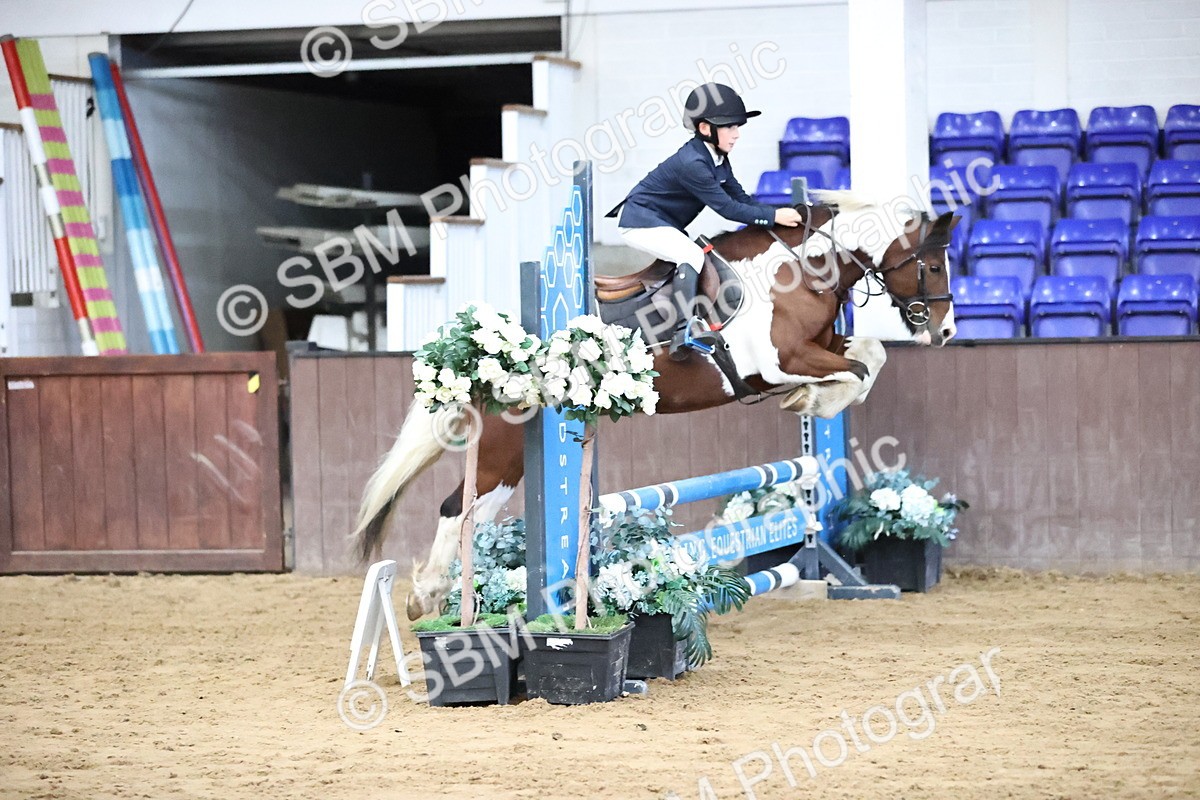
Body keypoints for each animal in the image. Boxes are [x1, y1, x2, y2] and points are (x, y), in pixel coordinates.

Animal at [351, 191, 960, 618]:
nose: (947, 331)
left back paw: (441, 598)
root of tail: (490, 347)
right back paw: (433, 597)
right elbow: (855, 373)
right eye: (933, 266)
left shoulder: (822, 347)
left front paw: (810, 401)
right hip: (507, 448)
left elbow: (870, 355)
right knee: (457, 509)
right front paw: (812, 399)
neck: (799, 270)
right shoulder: (778, 361)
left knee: (469, 513)